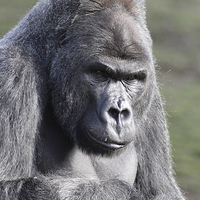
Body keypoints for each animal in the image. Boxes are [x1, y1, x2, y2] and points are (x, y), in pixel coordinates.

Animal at [0, 0, 184, 200]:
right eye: (100, 73)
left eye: (131, 78)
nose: (118, 112)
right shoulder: (13, 71)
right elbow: (10, 187)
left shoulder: (152, 98)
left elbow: (164, 190)